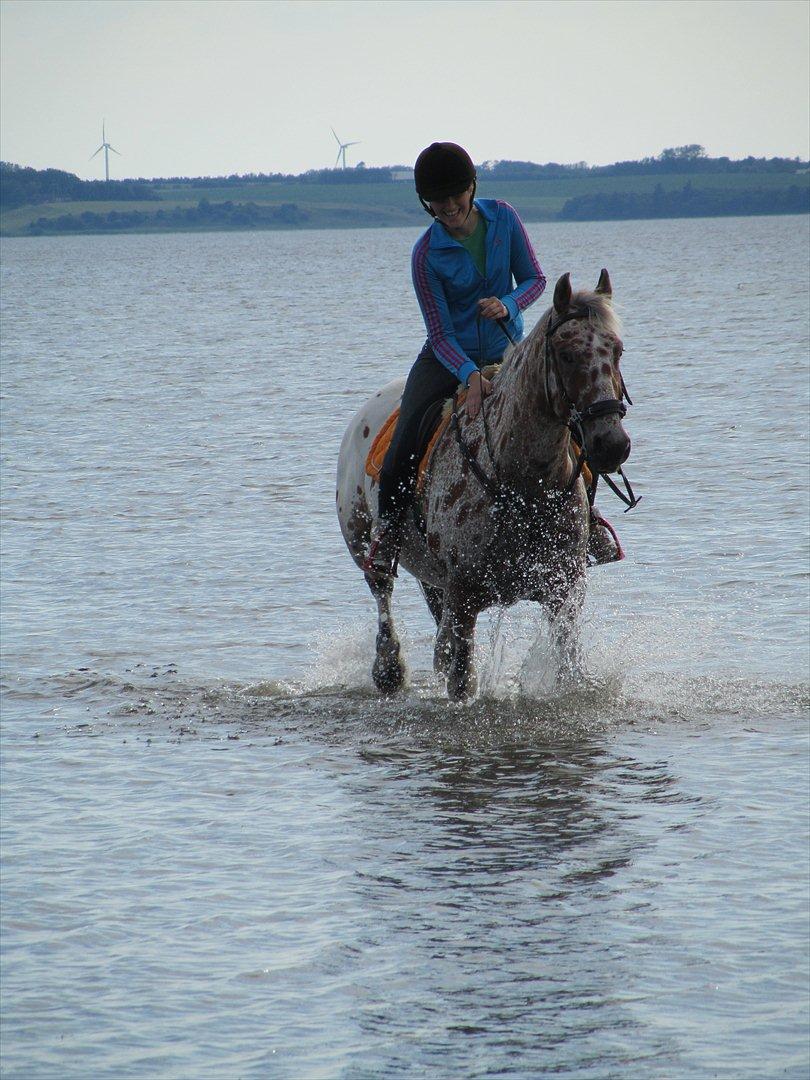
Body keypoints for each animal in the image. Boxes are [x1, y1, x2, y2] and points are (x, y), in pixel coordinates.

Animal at [332, 272, 639, 699]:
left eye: (618, 351)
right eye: (566, 354)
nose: (612, 444)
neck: (525, 485)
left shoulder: (565, 590)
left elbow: (569, 667)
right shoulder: (463, 597)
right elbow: (461, 679)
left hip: (432, 576)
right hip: (365, 545)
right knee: (382, 596)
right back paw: (389, 670)